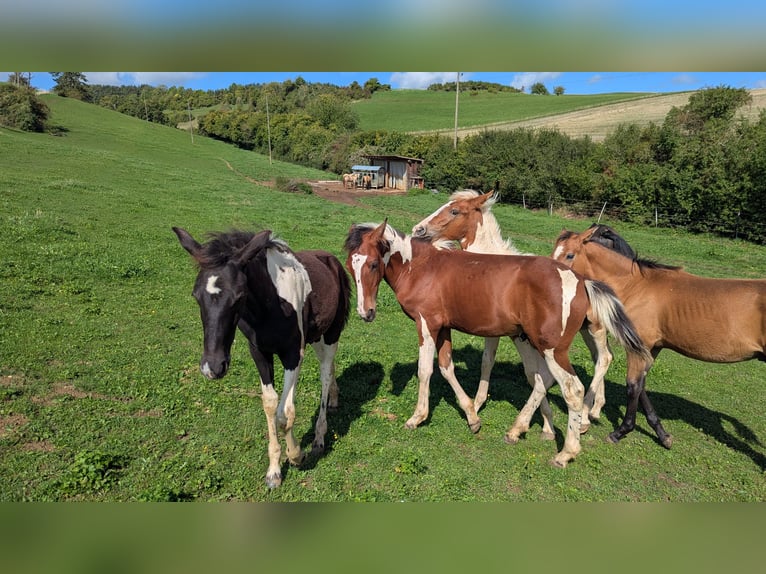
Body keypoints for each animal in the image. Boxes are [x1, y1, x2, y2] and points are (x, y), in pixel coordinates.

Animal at [173, 227, 351, 488]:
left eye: (239, 296)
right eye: (196, 296)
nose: (213, 367)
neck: (271, 305)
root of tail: (331, 260)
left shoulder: (292, 354)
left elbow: (285, 412)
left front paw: (296, 455)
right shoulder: (259, 352)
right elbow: (269, 404)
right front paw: (274, 471)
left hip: (331, 334)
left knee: (325, 375)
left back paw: (319, 438)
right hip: (316, 336)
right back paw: (335, 399)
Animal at [343, 221, 648, 467]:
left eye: (373, 264)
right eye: (350, 266)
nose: (365, 313)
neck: (420, 268)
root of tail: (582, 281)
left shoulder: (426, 324)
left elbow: (425, 370)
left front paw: (416, 418)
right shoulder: (443, 328)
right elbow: (446, 368)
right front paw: (472, 417)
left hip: (553, 349)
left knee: (572, 389)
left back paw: (566, 452)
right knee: (542, 379)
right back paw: (522, 429)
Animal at [412, 190, 615, 434]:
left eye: (454, 211)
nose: (418, 229)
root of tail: (585, 282)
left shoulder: (512, 335)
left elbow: (524, 372)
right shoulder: (504, 333)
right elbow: (498, 364)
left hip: (594, 331)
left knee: (603, 359)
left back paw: (585, 417)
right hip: (583, 332)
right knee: (597, 359)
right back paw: (594, 410)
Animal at [552, 223, 766, 448]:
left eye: (569, 255)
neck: (636, 286)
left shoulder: (637, 346)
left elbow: (633, 386)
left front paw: (620, 431)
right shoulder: (651, 348)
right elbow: (641, 386)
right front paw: (663, 435)